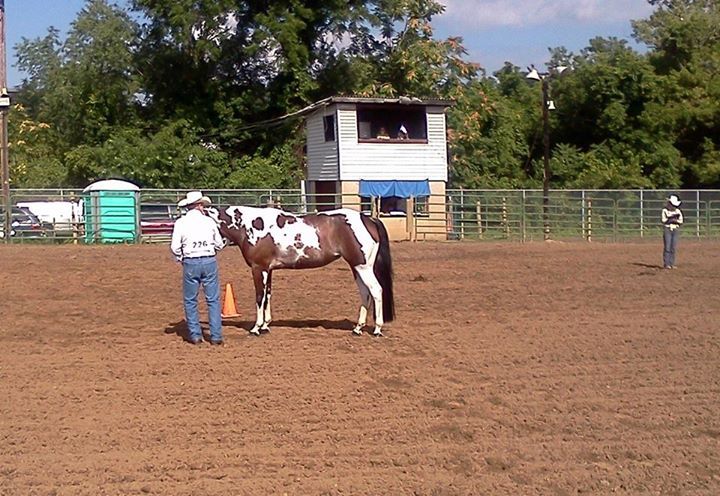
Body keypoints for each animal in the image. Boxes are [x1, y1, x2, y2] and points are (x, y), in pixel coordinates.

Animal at [205, 205, 396, 338]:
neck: (251, 226)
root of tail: (369, 220)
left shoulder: (258, 268)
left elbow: (260, 297)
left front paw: (256, 328)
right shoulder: (269, 270)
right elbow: (268, 296)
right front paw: (265, 326)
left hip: (363, 267)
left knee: (376, 290)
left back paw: (377, 329)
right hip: (357, 267)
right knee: (365, 293)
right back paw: (357, 328)